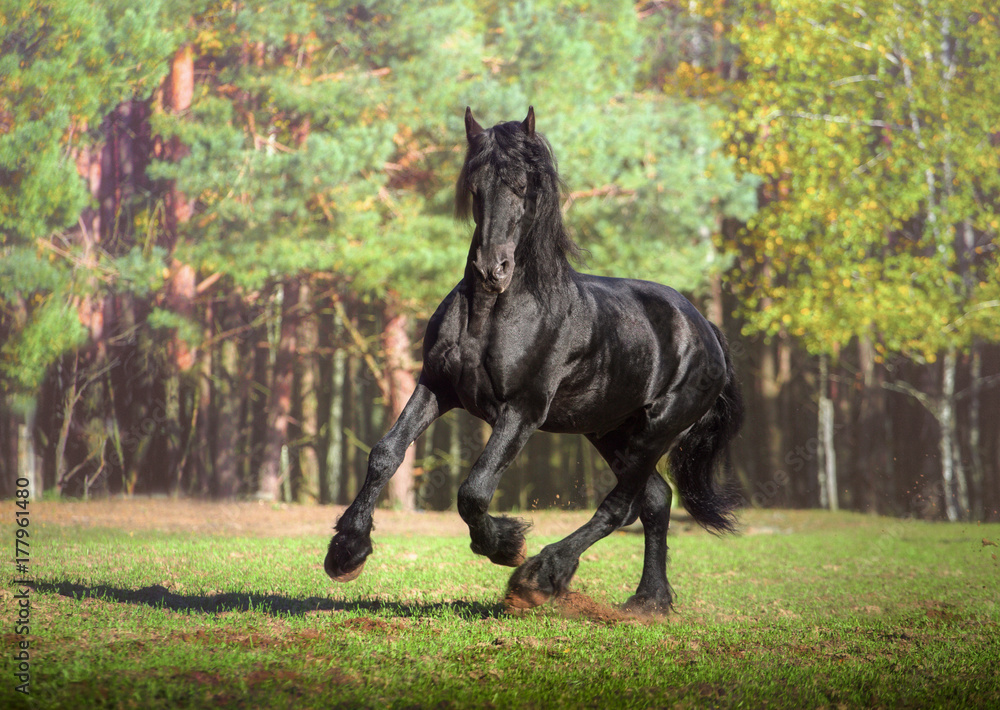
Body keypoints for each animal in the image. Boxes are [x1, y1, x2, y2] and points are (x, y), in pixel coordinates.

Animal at [325, 106, 743, 613]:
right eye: (475, 185)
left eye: (524, 185)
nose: (492, 269)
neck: (492, 315)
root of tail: (705, 329)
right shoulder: (436, 387)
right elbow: (385, 453)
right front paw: (347, 551)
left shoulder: (522, 411)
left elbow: (474, 490)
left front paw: (506, 545)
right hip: (610, 431)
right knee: (656, 500)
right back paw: (648, 601)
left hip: (656, 430)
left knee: (621, 506)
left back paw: (541, 575)